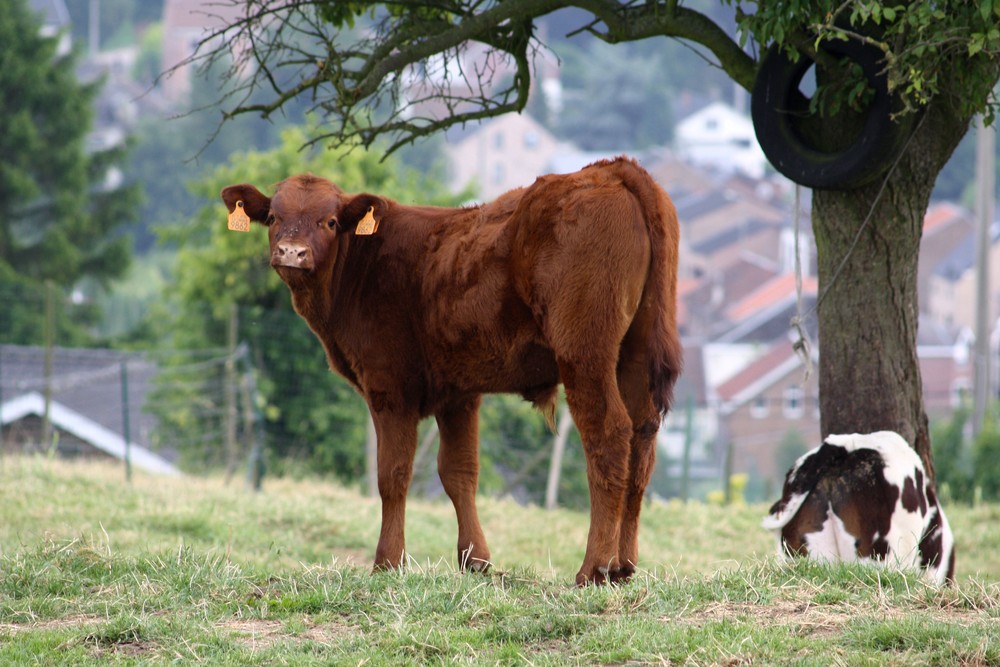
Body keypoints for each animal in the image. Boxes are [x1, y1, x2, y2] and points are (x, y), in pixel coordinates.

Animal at [223, 157, 684, 584]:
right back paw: (624, 565)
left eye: (330, 221)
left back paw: (594, 568)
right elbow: (459, 472)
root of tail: (611, 170)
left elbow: (393, 473)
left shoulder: (389, 384)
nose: (292, 252)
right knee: (642, 440)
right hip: (635, 353)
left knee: (608, 434)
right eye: (274, 217)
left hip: (584, 351)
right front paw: (475, 560)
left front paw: (387, 562)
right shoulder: (458, 392)